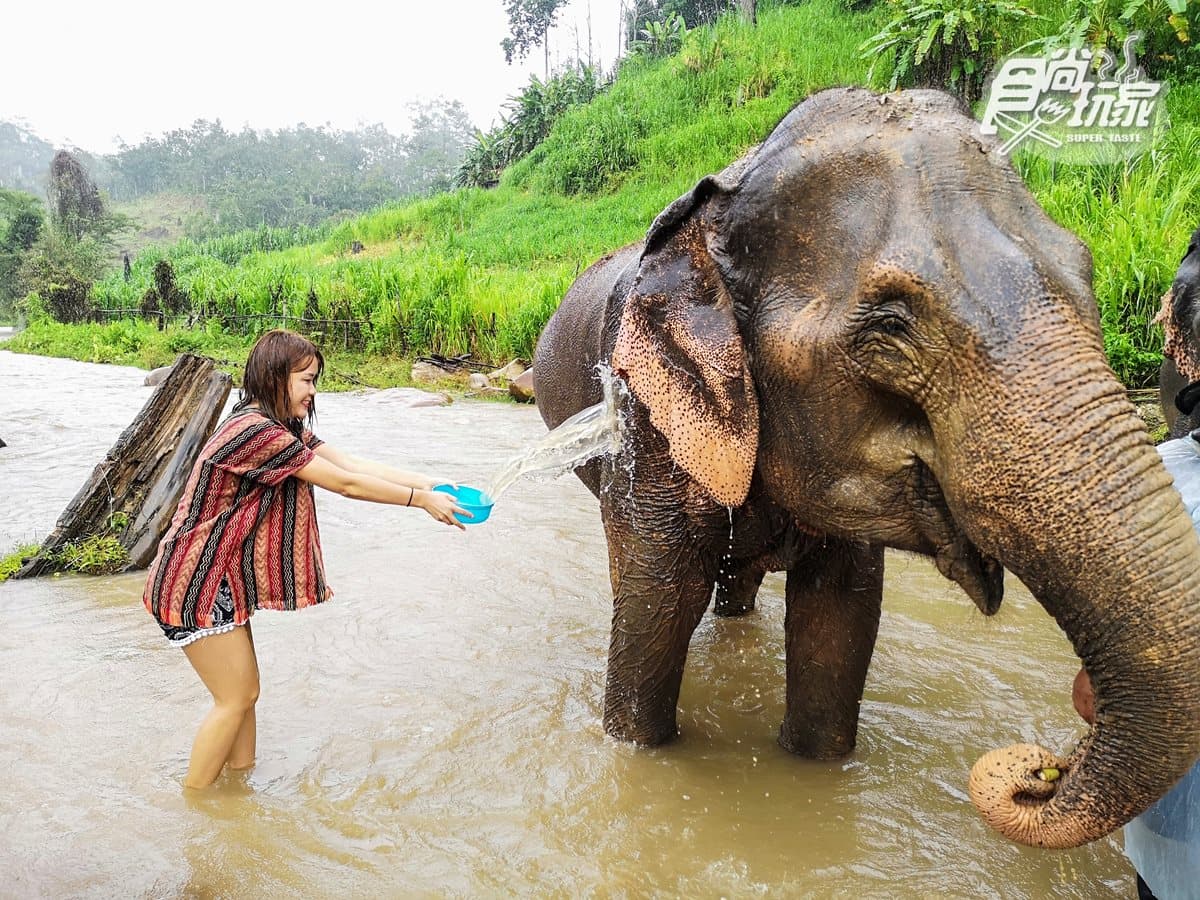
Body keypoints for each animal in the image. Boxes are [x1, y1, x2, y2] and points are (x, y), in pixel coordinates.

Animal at [533, 86, 1200, 849]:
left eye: (1086, 269)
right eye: (891, 325)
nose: (1042, 771)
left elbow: (841, 618)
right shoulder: (646, 426)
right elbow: (657, 607)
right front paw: (634, 744)